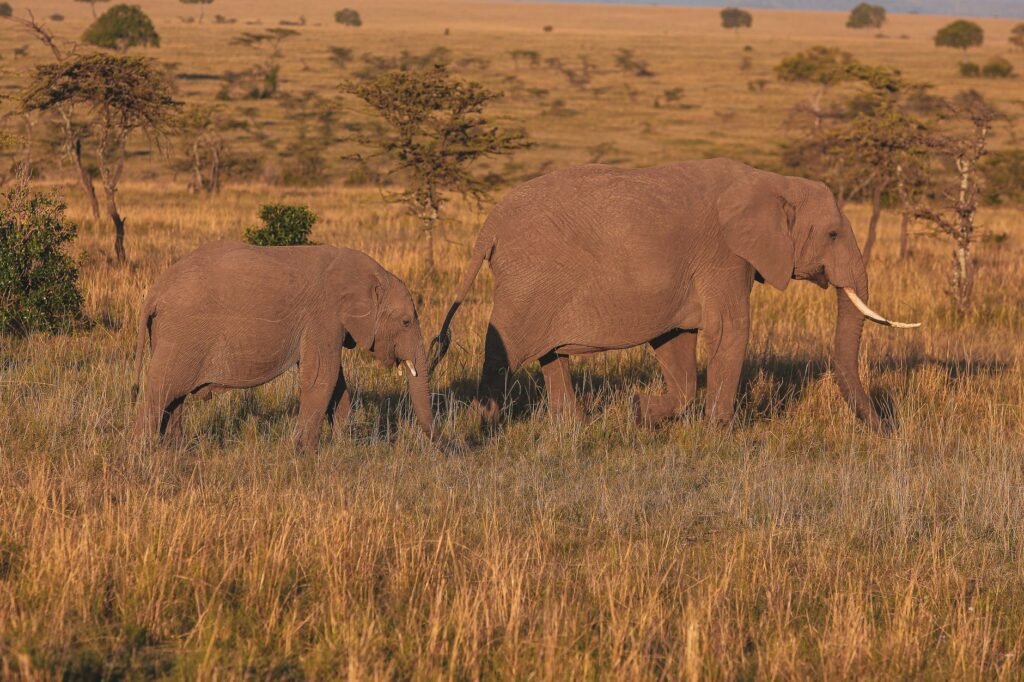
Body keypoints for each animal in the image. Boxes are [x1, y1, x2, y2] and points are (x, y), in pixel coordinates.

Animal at [132, 240, 437, 452]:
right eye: (406, 322)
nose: (445, 448)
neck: (371, 274)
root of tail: (155, 292)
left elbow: (337, 384)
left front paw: (344, 446)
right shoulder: (323, 316)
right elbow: (321, 379)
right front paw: (304, 452)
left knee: (175, 397)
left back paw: (177, 449)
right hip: (181, 333)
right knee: (161, 391)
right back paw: (145, 451)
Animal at [429, 158, 918, 429]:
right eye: (833, 233)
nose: (886, 429)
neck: (772, 181)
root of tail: (490, 224)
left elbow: (676, 343)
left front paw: (639, 413)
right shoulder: (725, 256)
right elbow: (730, 331)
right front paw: (720, 434)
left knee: (552, 356)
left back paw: (574, 428)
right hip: (528, 280)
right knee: (505, 352)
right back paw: (483, 426)